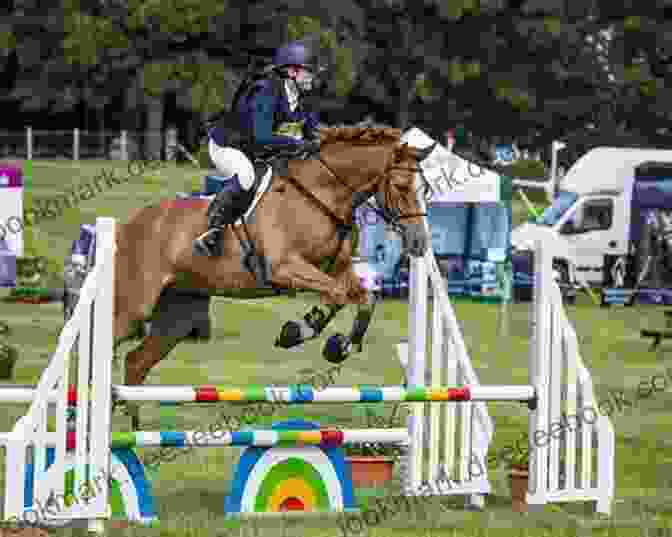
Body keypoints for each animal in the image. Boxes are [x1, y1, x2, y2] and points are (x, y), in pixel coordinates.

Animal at [75, 126, 436, 402]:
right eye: (401, 187)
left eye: (426, 189)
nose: (420, 242)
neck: (321, 196)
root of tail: (124, 227)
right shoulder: (285, 268)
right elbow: (337, 294)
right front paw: (301, 333)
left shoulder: (337, 268)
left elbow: (363, 297)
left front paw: (338, 344)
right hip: (134, 306)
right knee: (100, 349)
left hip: (178, 315)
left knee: (136, 362)